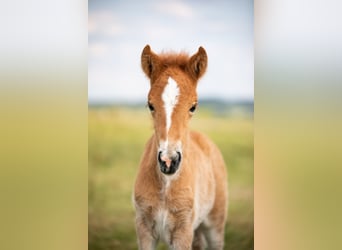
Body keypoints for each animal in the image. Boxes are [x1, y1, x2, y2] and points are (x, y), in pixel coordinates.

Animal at [134, 45, 227, 250]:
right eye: (150, 105)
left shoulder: (182, 232)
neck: (166, 186)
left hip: (215, 225)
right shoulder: (144, 229)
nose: (168, 161)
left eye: (193, 106)